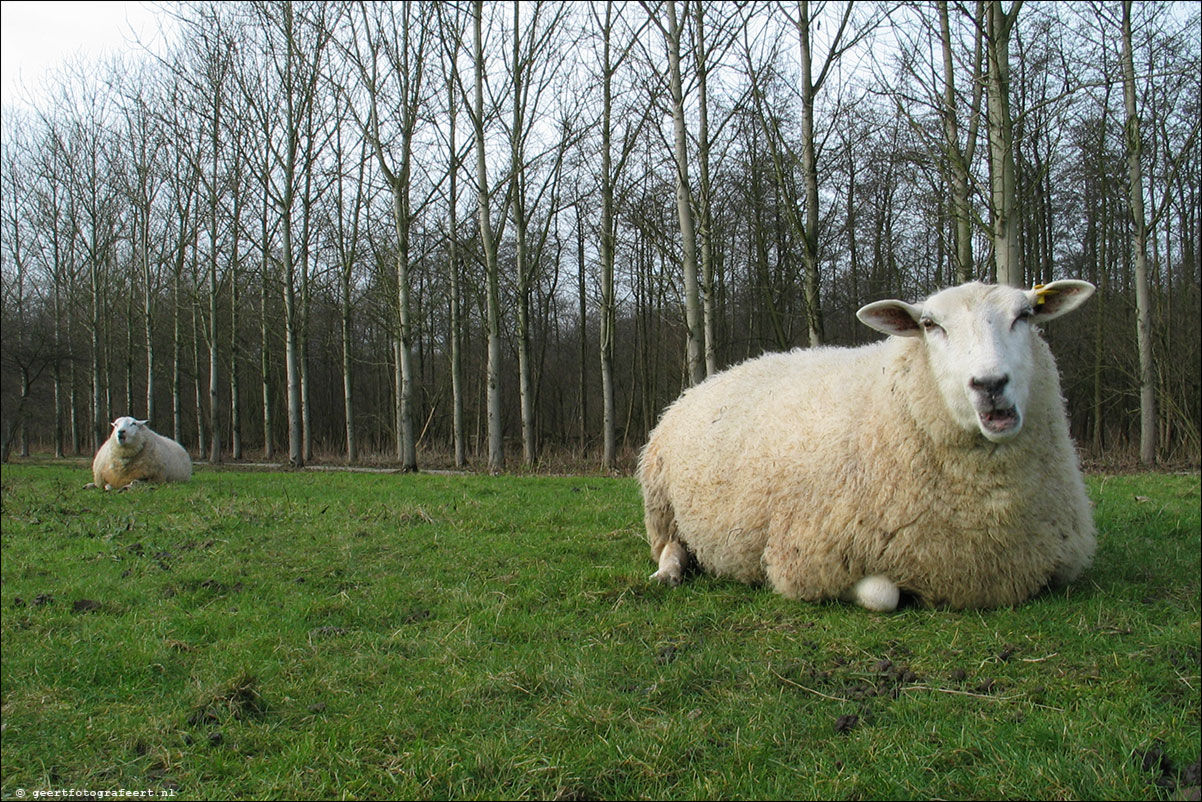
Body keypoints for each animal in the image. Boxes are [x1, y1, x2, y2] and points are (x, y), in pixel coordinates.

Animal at [639, 278, 1101, 610]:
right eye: (930, 325)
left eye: (1025, 315)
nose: (990, 384)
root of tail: (708, 381)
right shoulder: (805, 559)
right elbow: (883, 595)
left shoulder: (1056, 562)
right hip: (661, 503)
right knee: (671, 547)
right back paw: (669, 574)